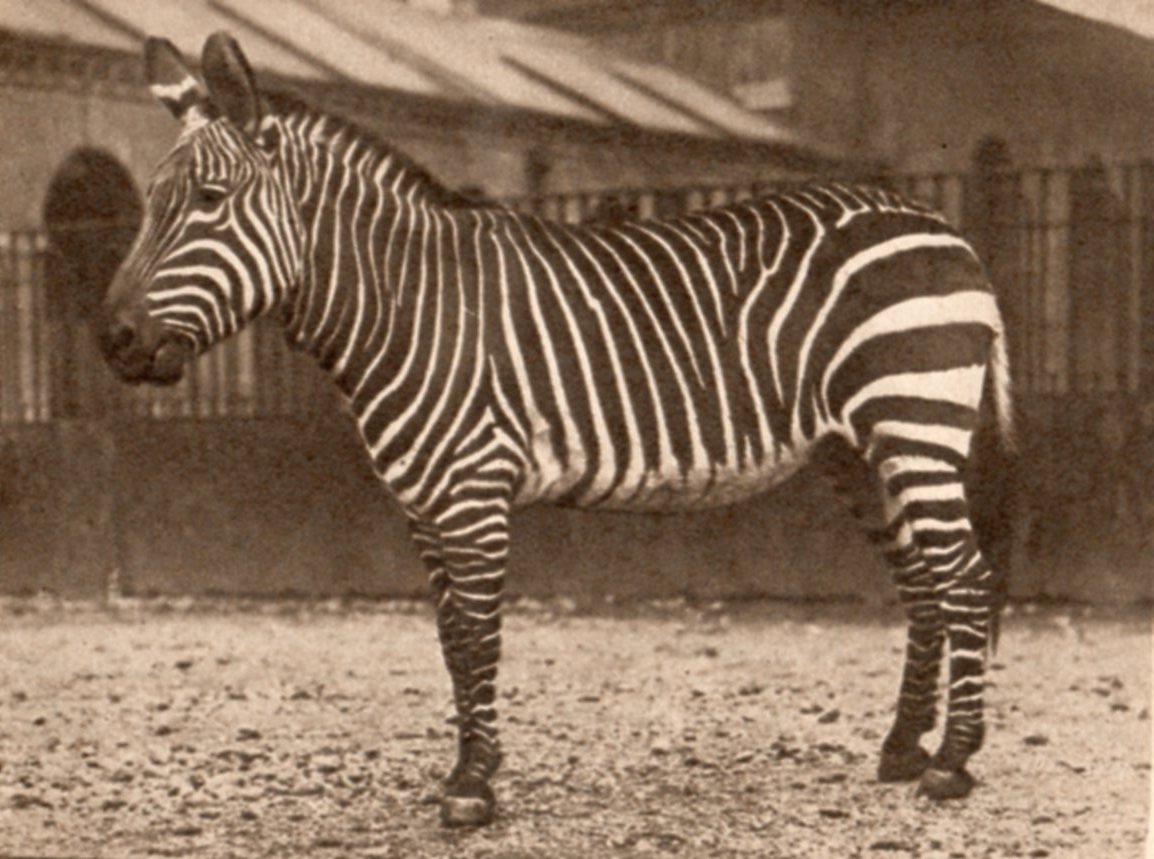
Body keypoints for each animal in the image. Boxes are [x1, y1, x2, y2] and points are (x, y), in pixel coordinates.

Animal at [100, 32, 1014, 828]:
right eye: (151, 207)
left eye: (210, 203)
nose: (113, 339)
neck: (411, 305)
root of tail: (938, 224)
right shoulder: (422, 502)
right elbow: (450, 638)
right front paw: (471, 766)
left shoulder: (471, 490)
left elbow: (477, 637)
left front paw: (472, 786)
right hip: (858, 450)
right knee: (924, 583)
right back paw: (902, 747)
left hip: (914, 420)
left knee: (964, 576)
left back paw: (952, 762)